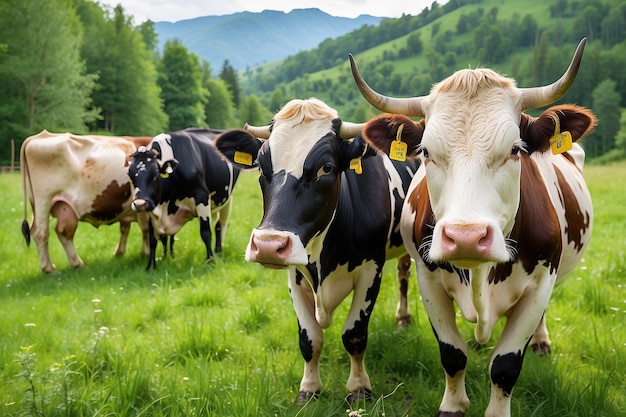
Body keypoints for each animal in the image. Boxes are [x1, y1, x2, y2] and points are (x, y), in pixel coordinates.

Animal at [20, 130, 152, 272]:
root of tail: (39, 136)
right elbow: (146, 227)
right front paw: (147, 253)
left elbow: (126, 227)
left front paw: (120, 252)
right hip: (43, 201)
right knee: (41, 233)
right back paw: (50, 268)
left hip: (54, 206)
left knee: (61, 232)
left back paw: (76, 264)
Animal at [127, 127, 239, 270]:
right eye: (130, 174)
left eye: (155, 174)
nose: (139, 204)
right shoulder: (153, 207)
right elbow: (153, 238)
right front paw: (152, 265)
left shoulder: (202, 197)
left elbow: (205, 233)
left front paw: (210, 260)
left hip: (226, 199)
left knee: (220, 225)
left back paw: (218, 253)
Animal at [214, 98, 420, 404]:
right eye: (261, 168)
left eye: (327, 168)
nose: (268, 245)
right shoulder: (295, 275)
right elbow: (309, 338)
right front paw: (309, 388)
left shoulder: (372, 269)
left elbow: (354, 334)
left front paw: (358, 388)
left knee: (404, 274)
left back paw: (403, 317)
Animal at [348, 37, 592, 414]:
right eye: (426, 152)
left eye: (515, 149)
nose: (466, 237)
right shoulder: (429, 279)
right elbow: (453, 355)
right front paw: (452, 405)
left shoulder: (540, 284)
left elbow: (505, 366)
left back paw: (541, 341)